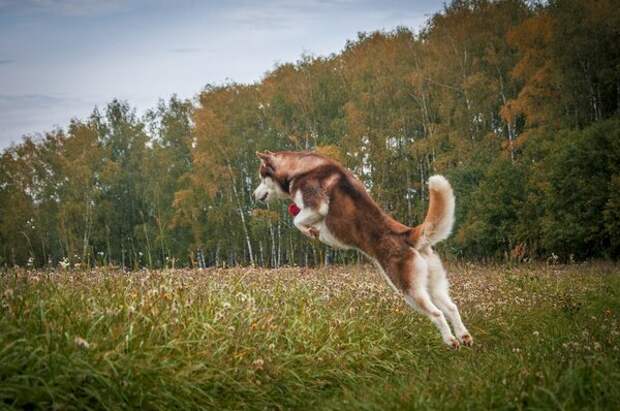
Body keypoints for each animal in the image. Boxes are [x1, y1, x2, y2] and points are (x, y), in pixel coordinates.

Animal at [254, 150, 472, 350]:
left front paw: (310, 231)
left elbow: (297, 220)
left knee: (437, 313)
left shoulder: (316, 207)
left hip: (408, 289)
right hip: (433, 283)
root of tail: (407, 234)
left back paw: (450, 339)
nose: (254, 195)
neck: (301, 168)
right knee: (451, 307)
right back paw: (464, 336)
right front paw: (312, 231)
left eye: (262, 177)